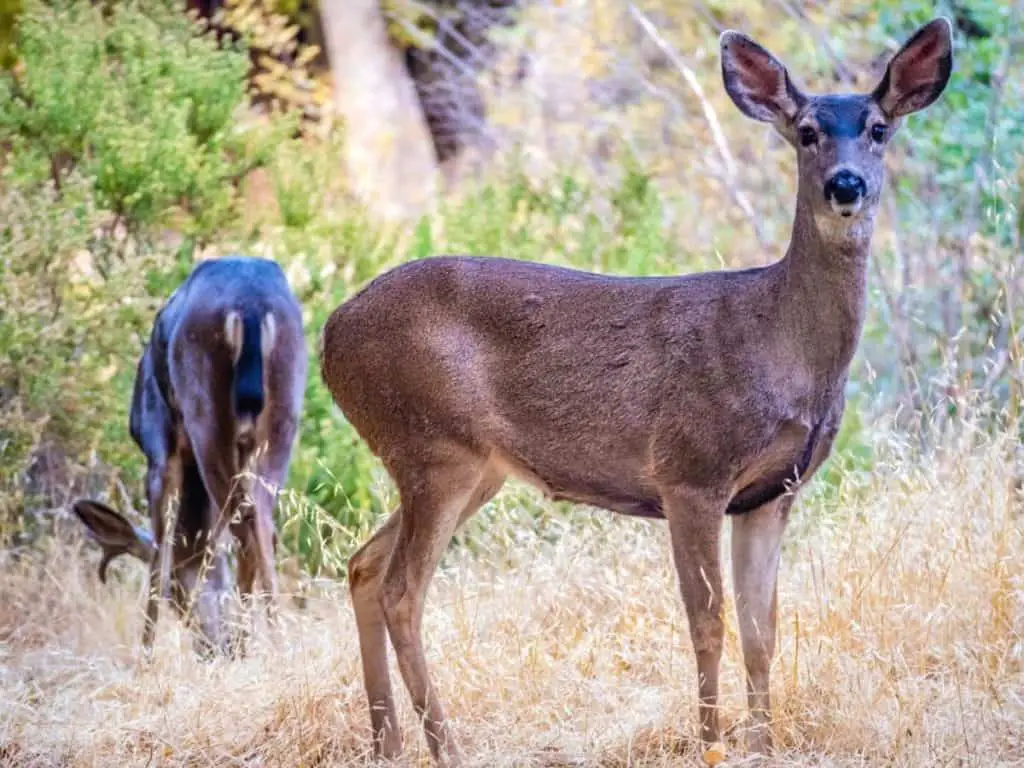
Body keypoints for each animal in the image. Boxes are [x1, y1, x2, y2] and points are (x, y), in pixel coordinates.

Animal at [72, 257, 305, 655]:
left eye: (175, 593)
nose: (211, 646)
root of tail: (251, 307)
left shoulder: (159, 446)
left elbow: (163, 549)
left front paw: (146, 656)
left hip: (206, 416)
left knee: (246, 524)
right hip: (282, 418)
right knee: (262, 524)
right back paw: (270, 642)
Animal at [317, 16, 950, 765]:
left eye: (879, 128)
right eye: (806, 132)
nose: (845, 185)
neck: (785, 350)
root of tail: (330, 335)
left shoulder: (774, 492)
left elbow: (763, 629)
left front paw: (763, 744)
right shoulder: (690, 470)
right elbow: (708, 621)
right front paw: (711, 743)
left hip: (470, 466)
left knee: (362, 564)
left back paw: (386, 741)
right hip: (432, 445)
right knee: (401, 590)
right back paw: (444, 747)